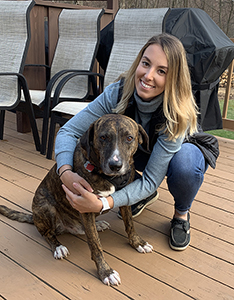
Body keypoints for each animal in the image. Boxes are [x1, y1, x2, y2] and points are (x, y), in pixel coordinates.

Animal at [0, 113, 154, 284]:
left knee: (83, 229)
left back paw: (97, 225)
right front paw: (105, 272)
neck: (103, 173)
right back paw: (58, 247)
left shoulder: (125, 199)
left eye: (129, 138)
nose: (115, 165)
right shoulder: (85, 207)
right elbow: (95, 244)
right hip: (46, 207)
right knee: (47, 234)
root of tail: (34, 216)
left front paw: (138, 243)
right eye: (103, 137)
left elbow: (130, 224)